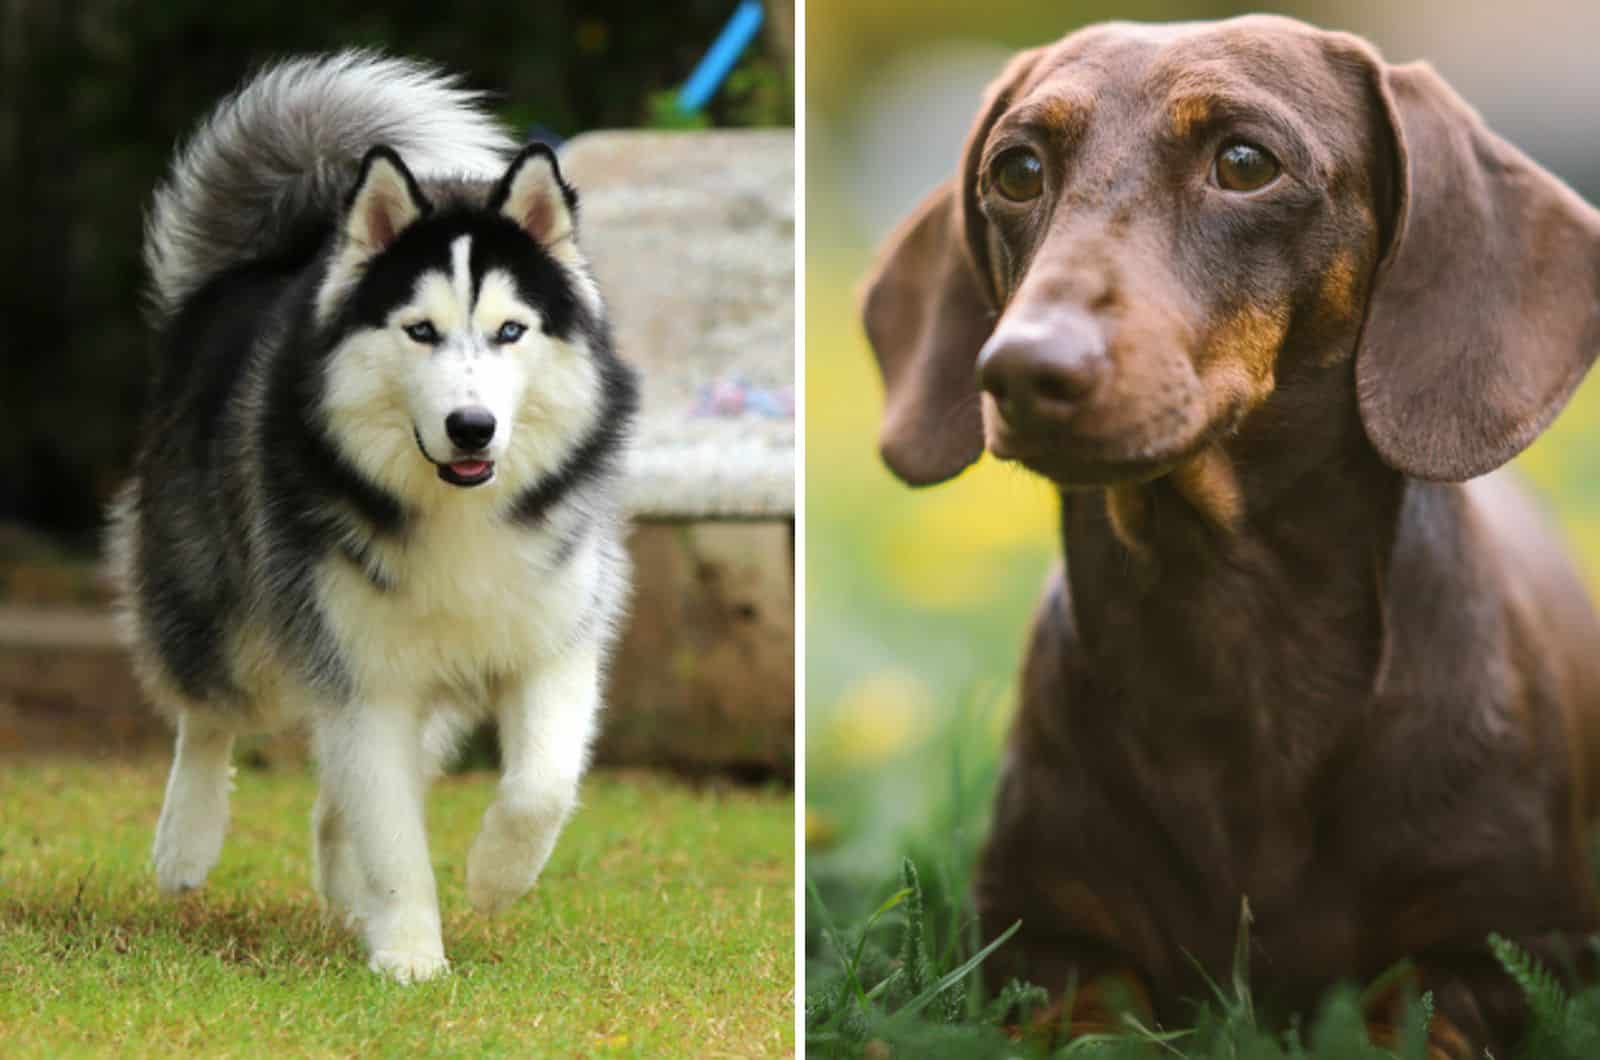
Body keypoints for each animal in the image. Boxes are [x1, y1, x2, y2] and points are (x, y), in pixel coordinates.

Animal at [106, 54, 636, 986]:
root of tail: (262, 263)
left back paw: (342, 876)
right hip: (221, 604)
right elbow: (392, 832)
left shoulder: (556, 639)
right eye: (420, 331)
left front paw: (495, 877)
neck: (457, 510)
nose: (472, 427)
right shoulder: (362, 674)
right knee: (209, 711)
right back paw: (187, 839)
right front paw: (411, 956)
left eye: (511, 331)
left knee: (346, 789)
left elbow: (539, 787)